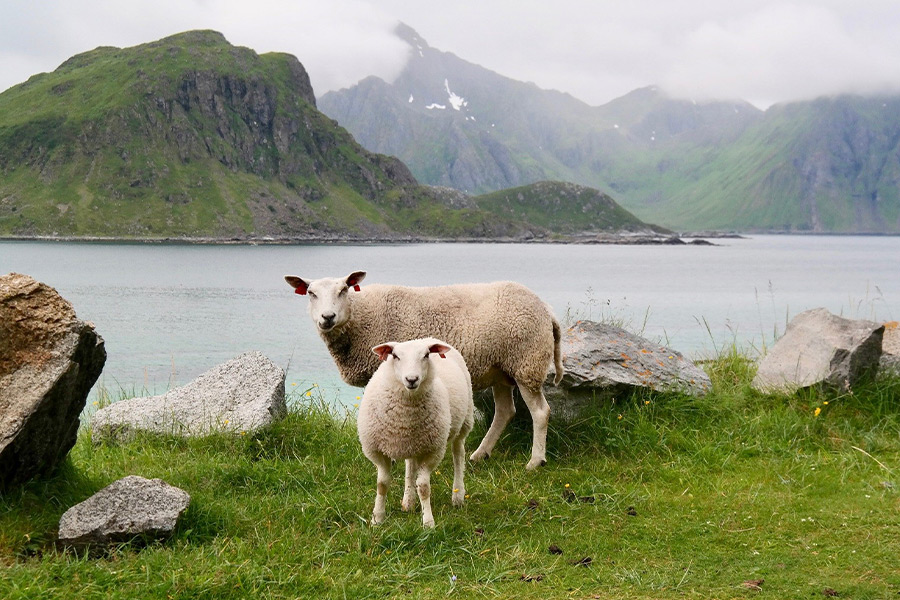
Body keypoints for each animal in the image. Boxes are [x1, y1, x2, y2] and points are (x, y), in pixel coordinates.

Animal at [284, 271, 564, 470]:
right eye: (310, 293)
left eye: (343, 290)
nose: (327, 317)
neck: (361, 317)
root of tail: (546, 308)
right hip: (502, 369)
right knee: (505, 412)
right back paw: (480, 454)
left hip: (527, 362)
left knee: (540, 412)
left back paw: (535, 461)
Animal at [357, 337, 474, 528]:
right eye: (395, 356)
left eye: (426, 355)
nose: (411, 379)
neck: (405, 417)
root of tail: (429, 338)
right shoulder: (377, 451)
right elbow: (382, 484)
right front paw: (377, 519)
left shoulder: (433, 451)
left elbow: (424, 487)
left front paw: (428, 522)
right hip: (413, 443)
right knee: (410, 464)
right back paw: (408, 501)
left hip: (465, 421)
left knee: (458, 454)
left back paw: (457, 496)